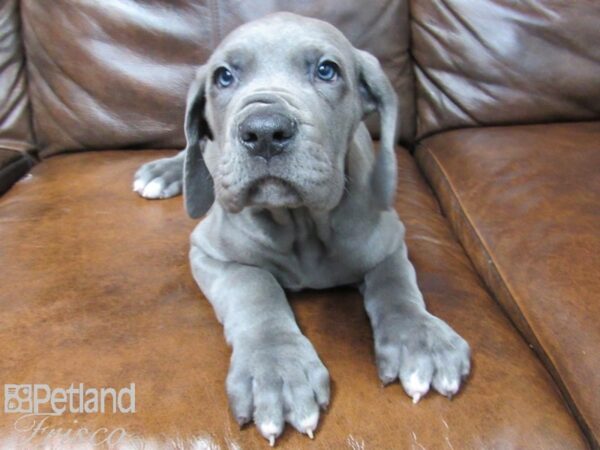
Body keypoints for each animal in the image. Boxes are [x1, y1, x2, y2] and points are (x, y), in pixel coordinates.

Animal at [134, 12, 472, 444]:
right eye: (224, 76)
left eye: (327, 70)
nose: (264, 131)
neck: (301, 222)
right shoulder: (210, 252)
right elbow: (256, 289)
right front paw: (275, 368)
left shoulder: (389, 241)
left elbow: (395, 286)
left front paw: (419, 338)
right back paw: (164, 172)